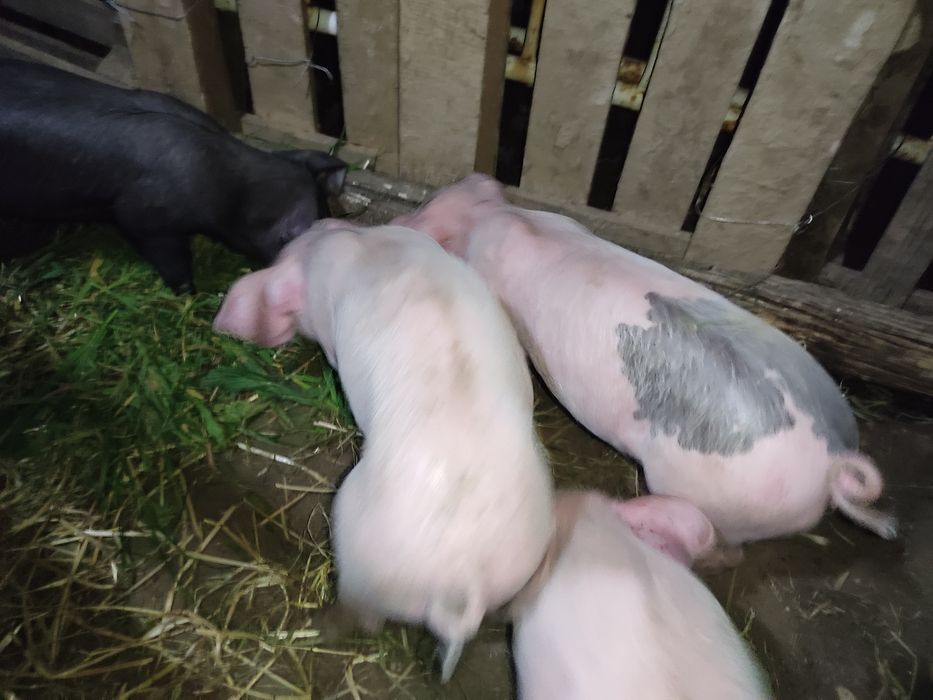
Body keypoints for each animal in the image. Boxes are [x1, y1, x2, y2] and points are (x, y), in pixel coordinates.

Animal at [212, 221, 555, 681]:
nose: (316, 222)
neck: (365, 243)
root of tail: (464, 578)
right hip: (519, 564)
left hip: (356, 544)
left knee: (364, 615)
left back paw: (323, 623)